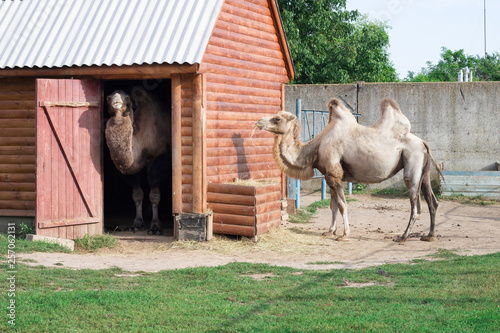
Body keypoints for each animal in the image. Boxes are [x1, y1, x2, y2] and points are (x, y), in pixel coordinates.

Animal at [105, 87, 170, 233]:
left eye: (127, 97)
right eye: (108, 97)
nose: (116, 102)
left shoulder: (158, 160)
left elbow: (154, 195)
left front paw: (155, 226)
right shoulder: (133, 170)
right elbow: (137, 194)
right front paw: (137, 223)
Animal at [256, 97, 444, 240]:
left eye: (277, 119)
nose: (258, 121)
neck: (316, 148)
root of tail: (423, 143)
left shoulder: (334, 174)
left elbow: (342, 205)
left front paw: (344, 234)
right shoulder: (330, 176)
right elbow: (332, 206)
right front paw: (330, 231)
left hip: (412, 165)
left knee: (416, 205)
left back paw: (403, 236)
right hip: (425, 172)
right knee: (432, 201)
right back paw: (429, 235)